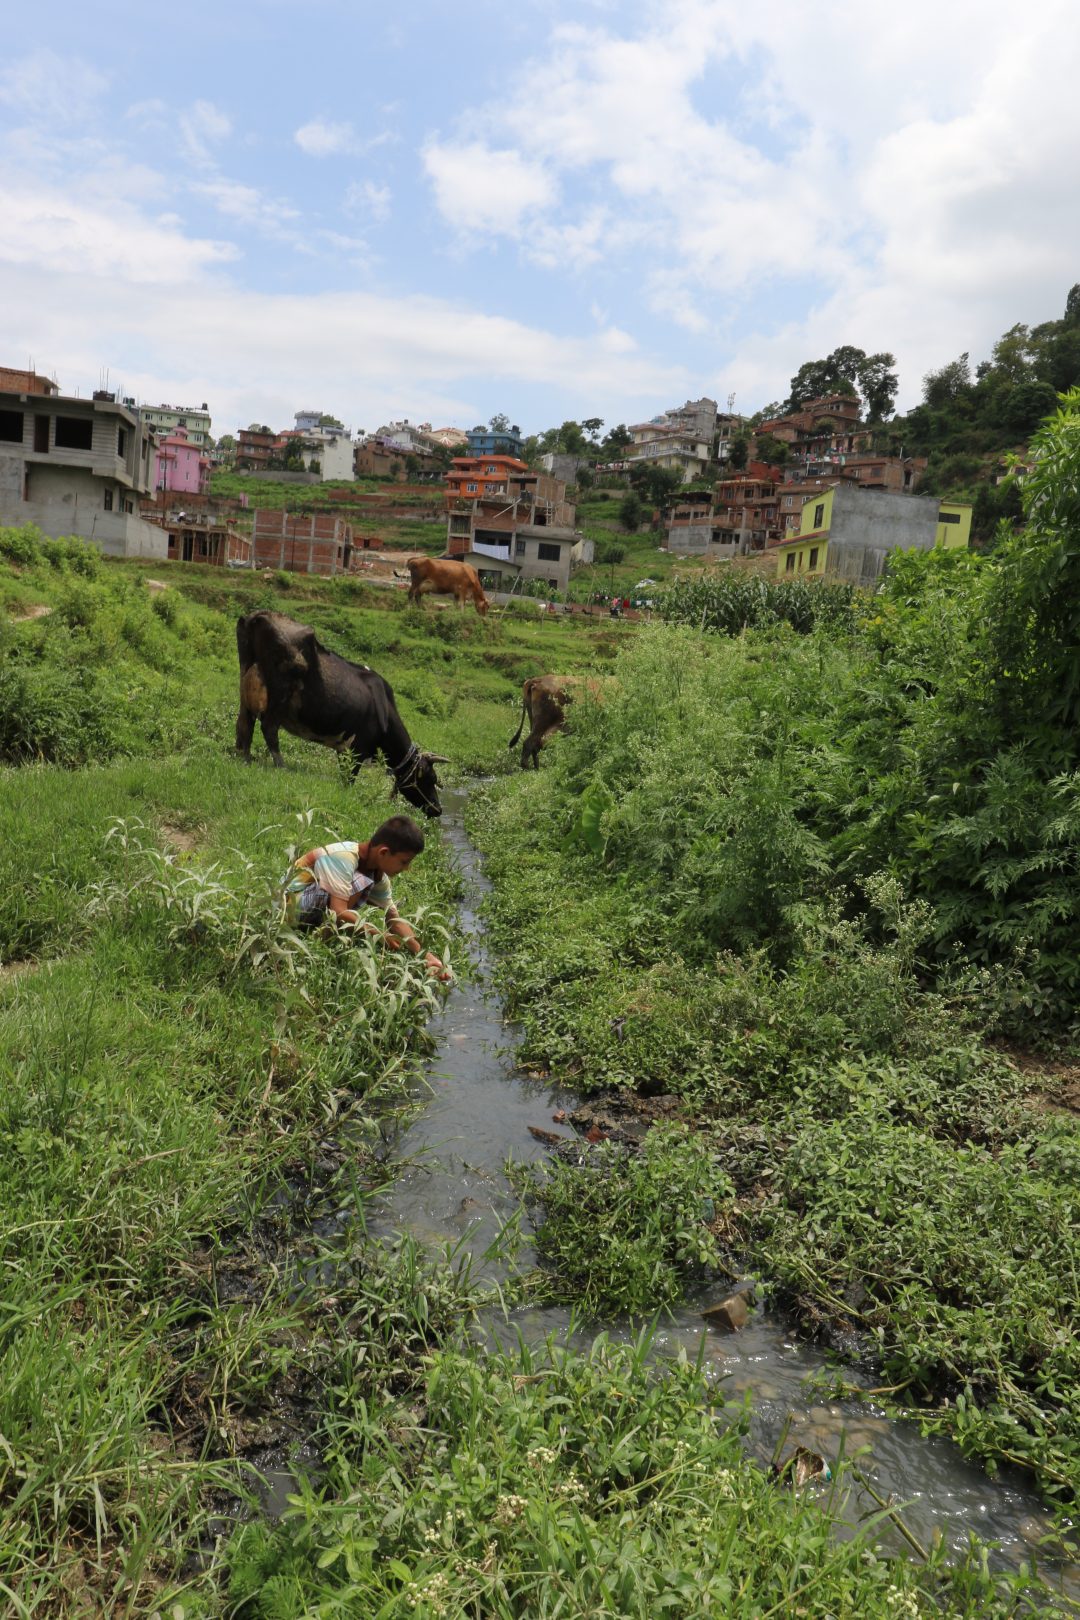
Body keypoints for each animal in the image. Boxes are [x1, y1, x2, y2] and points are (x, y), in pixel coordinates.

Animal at [235, 611, 448, 817]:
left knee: (244, 723)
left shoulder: (344, 748)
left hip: (245, 681)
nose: (438, 809)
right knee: (269, 728)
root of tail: (261, 615)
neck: (385, 711)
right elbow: (349, 779)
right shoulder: (357, 749)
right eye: (430, 778)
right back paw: (281, 766)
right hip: (280, 693)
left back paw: (243, 757)